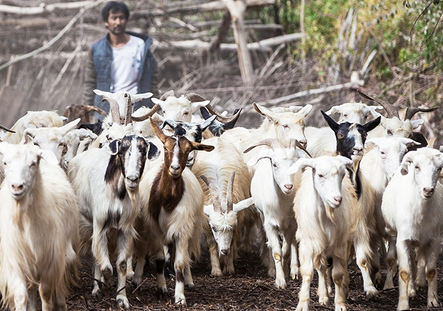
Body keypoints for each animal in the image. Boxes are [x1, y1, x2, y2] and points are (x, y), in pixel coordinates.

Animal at [0, 143, 80, 311]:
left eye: (32, 164)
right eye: (5, 163)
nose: (16, 187)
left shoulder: (50, 263)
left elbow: (46, 294)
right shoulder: (16, 262)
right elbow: (21, 296)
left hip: (64, 254)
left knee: (59, 288)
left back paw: (61, 304)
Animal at [292, 156, 358, 311]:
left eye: (342, 175)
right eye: (320, 175)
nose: (337, 199)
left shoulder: (339, 245)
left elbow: (338, 275)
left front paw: (340, 304)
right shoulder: (308, 243)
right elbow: (308, 272)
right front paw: (303, 303)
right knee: (321, 268)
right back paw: (323, 295)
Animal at [382, 147, 443, 310]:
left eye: (439, 168)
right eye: (417, 167)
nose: (428, 190)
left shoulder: (435, 239)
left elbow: (431, 271)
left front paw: (433, 301)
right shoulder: (403, 240)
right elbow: (404, 272)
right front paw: (403, 305)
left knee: (419, 260)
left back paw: (418, 284)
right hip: (396, 234)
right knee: (410, 263)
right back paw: (410, 290)